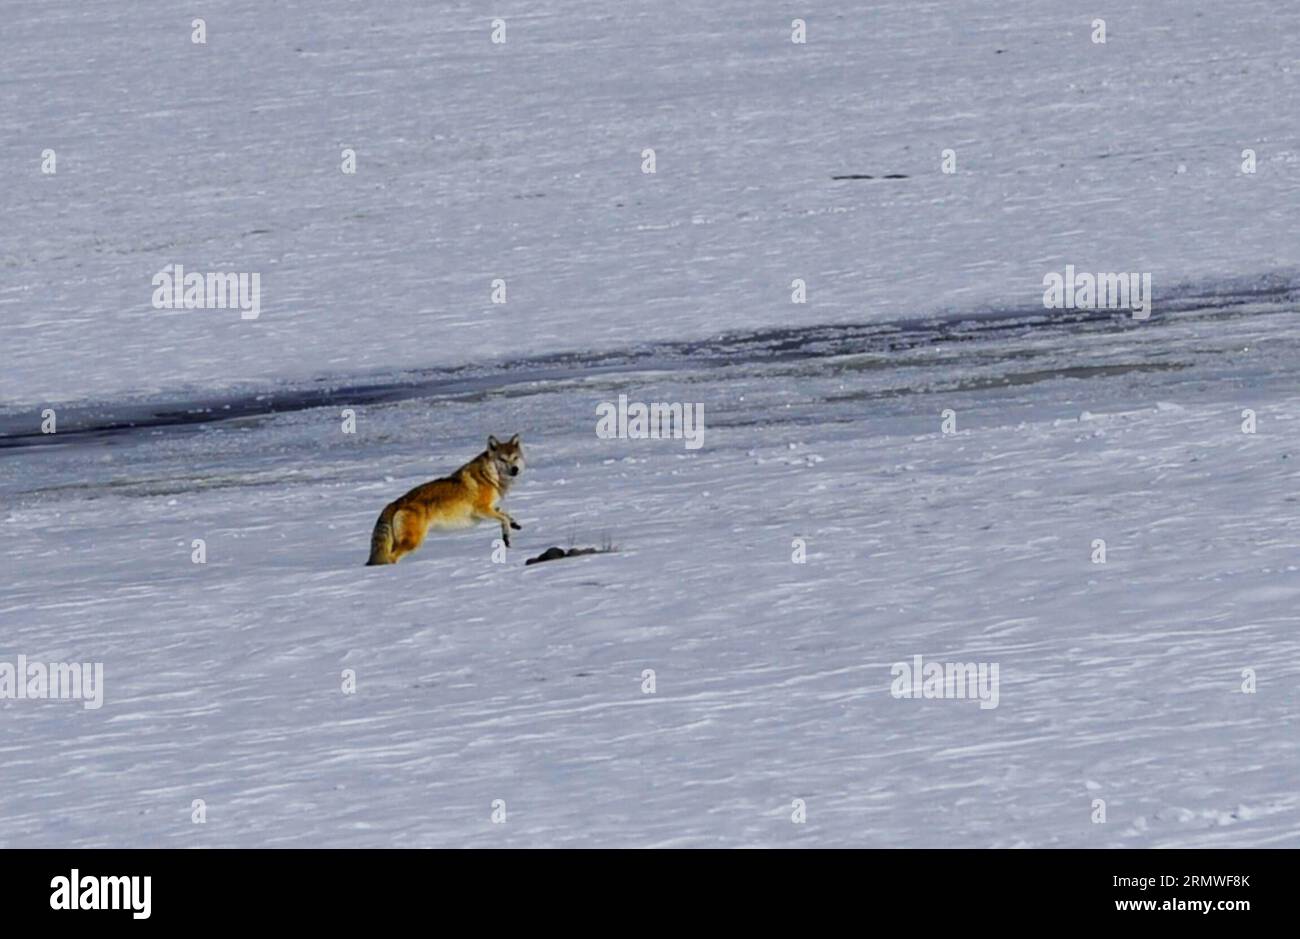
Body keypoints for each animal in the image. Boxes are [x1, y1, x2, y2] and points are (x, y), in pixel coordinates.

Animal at [364, 434, 525, 564]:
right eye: (502, 459)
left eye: (515, 457)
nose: (515, 469)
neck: (488, 477)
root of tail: (393, 504)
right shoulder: (481, 510)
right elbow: (503, 518)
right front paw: (506, 536)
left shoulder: (491, 508)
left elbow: (504, 513)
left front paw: (514, 524)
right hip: (413, 542)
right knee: (391, 558)